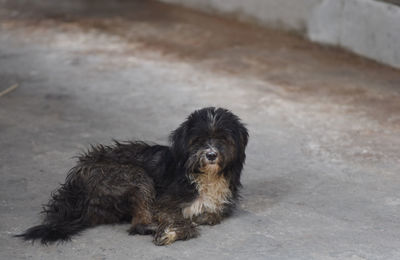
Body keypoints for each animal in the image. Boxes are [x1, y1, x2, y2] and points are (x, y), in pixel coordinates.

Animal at [17, 106, 248, 245]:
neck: (204, 176)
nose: (211, 155)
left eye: (223, 139)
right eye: (198, 140)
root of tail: (75, 188)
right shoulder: (163, 204)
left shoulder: (219, 205)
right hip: (134, 177)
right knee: (137, 224)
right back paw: (153, 227)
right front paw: (170, 231)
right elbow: (184, 222)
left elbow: (214, 216)